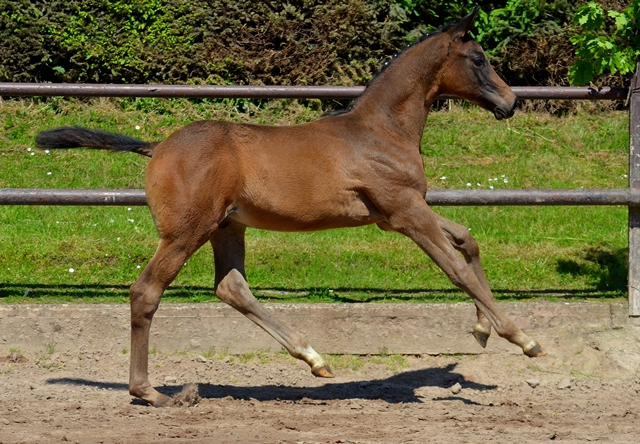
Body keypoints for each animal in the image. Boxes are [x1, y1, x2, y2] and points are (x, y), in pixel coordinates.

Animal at [36, 8, 544, 408]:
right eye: (478, 59)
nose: (512, 101)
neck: (381, 130)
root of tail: (157, 146)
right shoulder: (404, 212)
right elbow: (455, 269)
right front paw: (523, 339)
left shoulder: (394, 216)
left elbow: (466, 240)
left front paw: (481, 330)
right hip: (185, 232)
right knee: (146, 292)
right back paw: (153, 393)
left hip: (226, 227)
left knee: (231, 288)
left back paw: (315, 359)